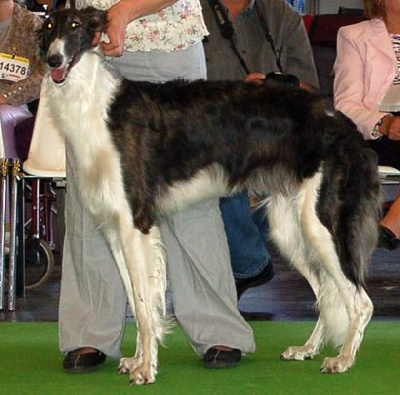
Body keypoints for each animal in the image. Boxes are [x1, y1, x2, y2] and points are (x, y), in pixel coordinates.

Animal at [41, 6, 382, 386]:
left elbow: (144, 305)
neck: (97, 106)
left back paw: (344, 358)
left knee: (360, 301)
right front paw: (138, 361)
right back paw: (308, 349)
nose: (54, 59)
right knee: (326, 291)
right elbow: (138, 296)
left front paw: (146, 369)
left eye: (75, 26)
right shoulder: (116, 228)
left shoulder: (135, 222)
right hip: (290, 228)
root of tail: (341, 120)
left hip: (320, 223)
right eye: (48, 27)